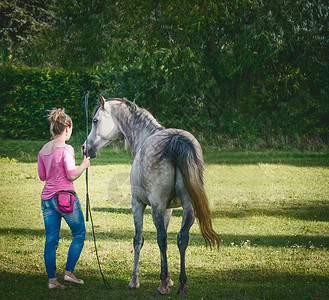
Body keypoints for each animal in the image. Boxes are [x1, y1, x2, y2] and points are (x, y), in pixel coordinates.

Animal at [82, 96, 220, 296]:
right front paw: (169, 279)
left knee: (161, 239)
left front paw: (135, 280)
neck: (144, 137)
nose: (85, 148)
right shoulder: (168, 209)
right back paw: (182, 285)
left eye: (95, 120)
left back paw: (162, 285)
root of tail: (175, 140)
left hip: (156, 206)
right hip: (188, 207)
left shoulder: (138, 204)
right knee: (182, 238)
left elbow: (138, 240)